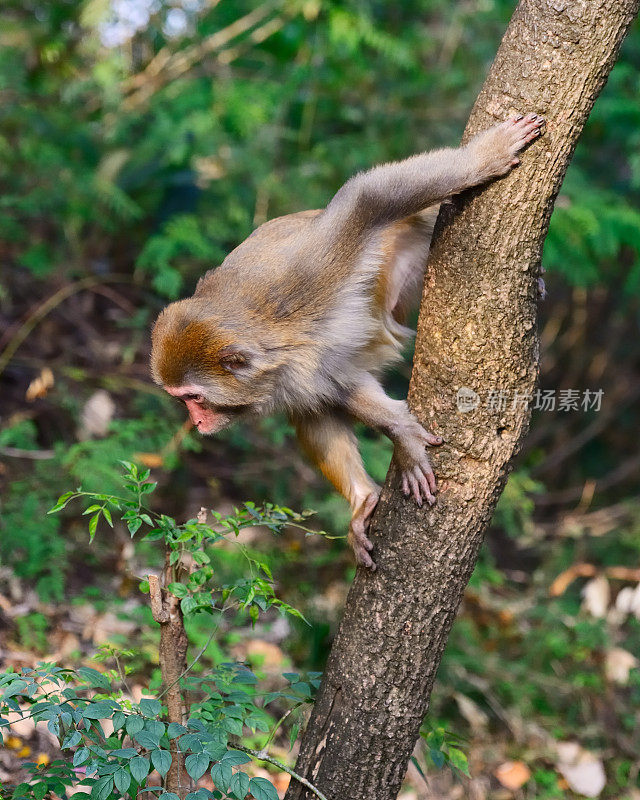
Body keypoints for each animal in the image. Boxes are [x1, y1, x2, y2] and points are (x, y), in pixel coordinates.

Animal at [151, 115, 544, 572]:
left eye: (194, 397)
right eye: (182, 400)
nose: (196, 423)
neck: (274, 342)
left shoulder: (309, 271)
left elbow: (369, 199)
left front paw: (484, 156)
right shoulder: (287, 372)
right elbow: (332, 391)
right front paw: (396, 442)